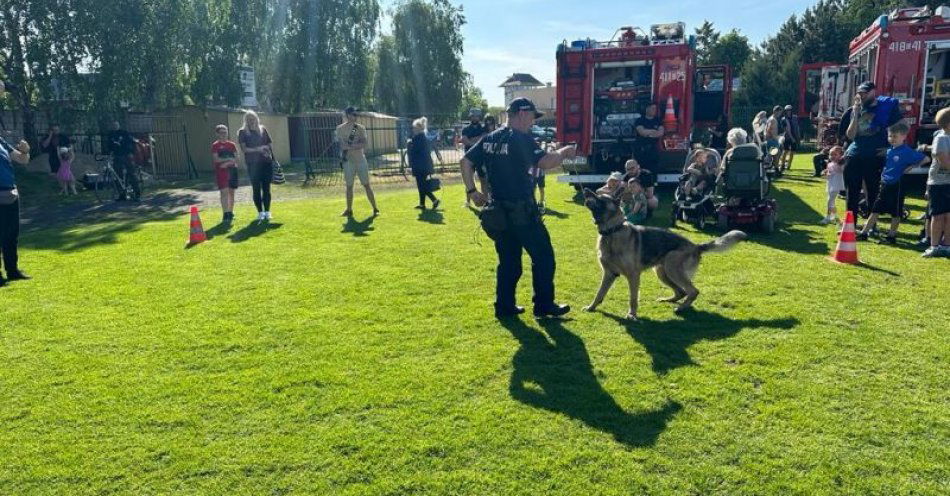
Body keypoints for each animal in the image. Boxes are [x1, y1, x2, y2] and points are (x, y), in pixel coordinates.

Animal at [580, 188, 752, 320]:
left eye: (601, 198)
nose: (585, 190)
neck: (612, 232)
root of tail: (696, 246)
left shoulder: (633, 275)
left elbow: (633, 298)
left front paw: (632, 315)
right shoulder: (609, 274)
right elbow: (599, 293)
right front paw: (591, 307)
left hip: (671, 267)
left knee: (693, 291)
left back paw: (681, 308)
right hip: (662, 272)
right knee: (681, 291)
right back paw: (669, 300)